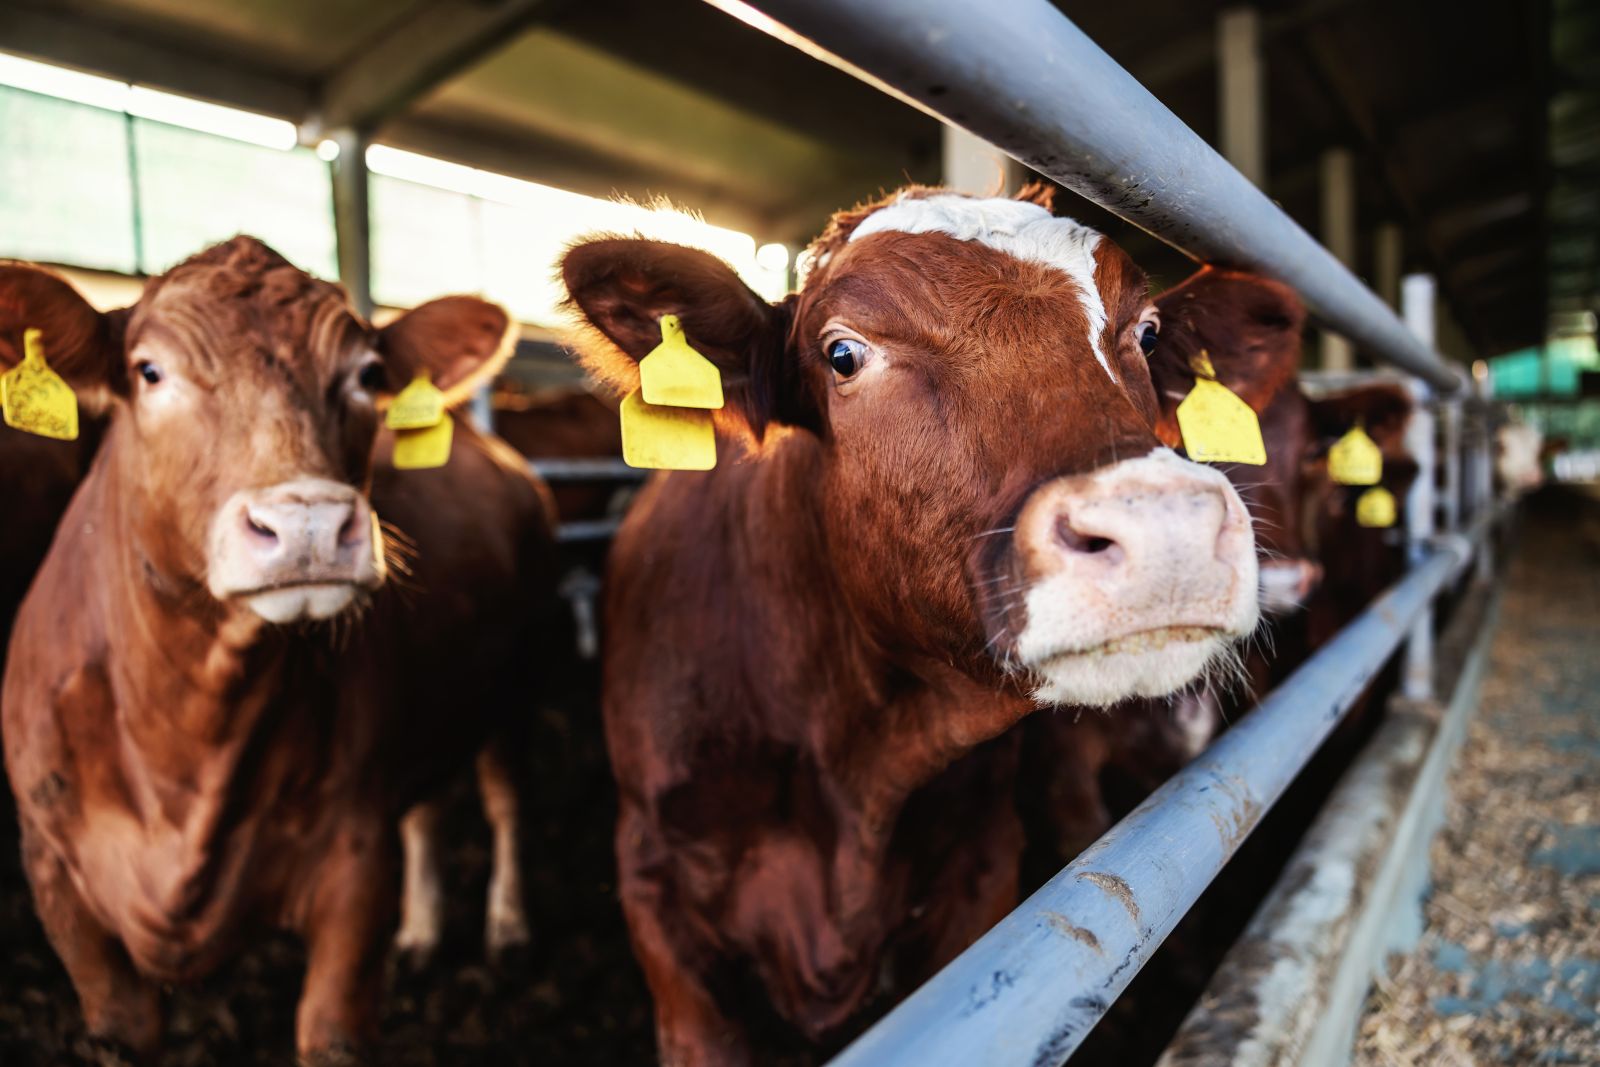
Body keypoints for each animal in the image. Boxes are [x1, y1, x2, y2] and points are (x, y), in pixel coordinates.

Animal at [0, 238, 556, 1062]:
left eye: (367, 375)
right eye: (149, 371)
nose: (309, 525)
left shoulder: (355, 868)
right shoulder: (59, 886)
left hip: (518, 673)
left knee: (506, 796)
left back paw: (511, 932)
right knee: (429, 806)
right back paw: (422, 936)